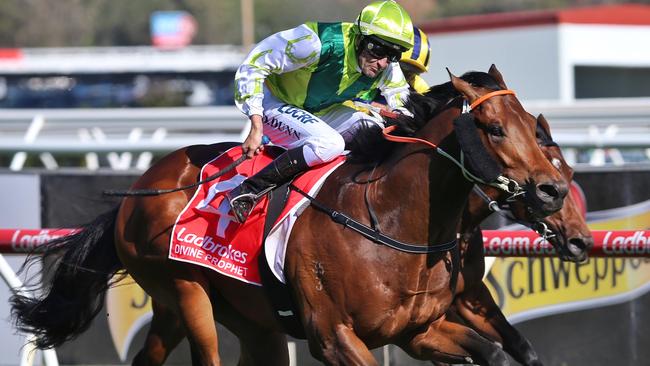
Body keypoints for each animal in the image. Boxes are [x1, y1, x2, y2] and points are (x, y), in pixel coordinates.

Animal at [12, 66, 564, 366]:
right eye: (494, 128)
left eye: (531, 126)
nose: (553, 190)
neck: (388, 222)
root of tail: (137, 192)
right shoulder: (334, 336)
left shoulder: (416, 330)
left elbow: (496, 350)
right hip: (186, 292)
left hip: (229, 317)